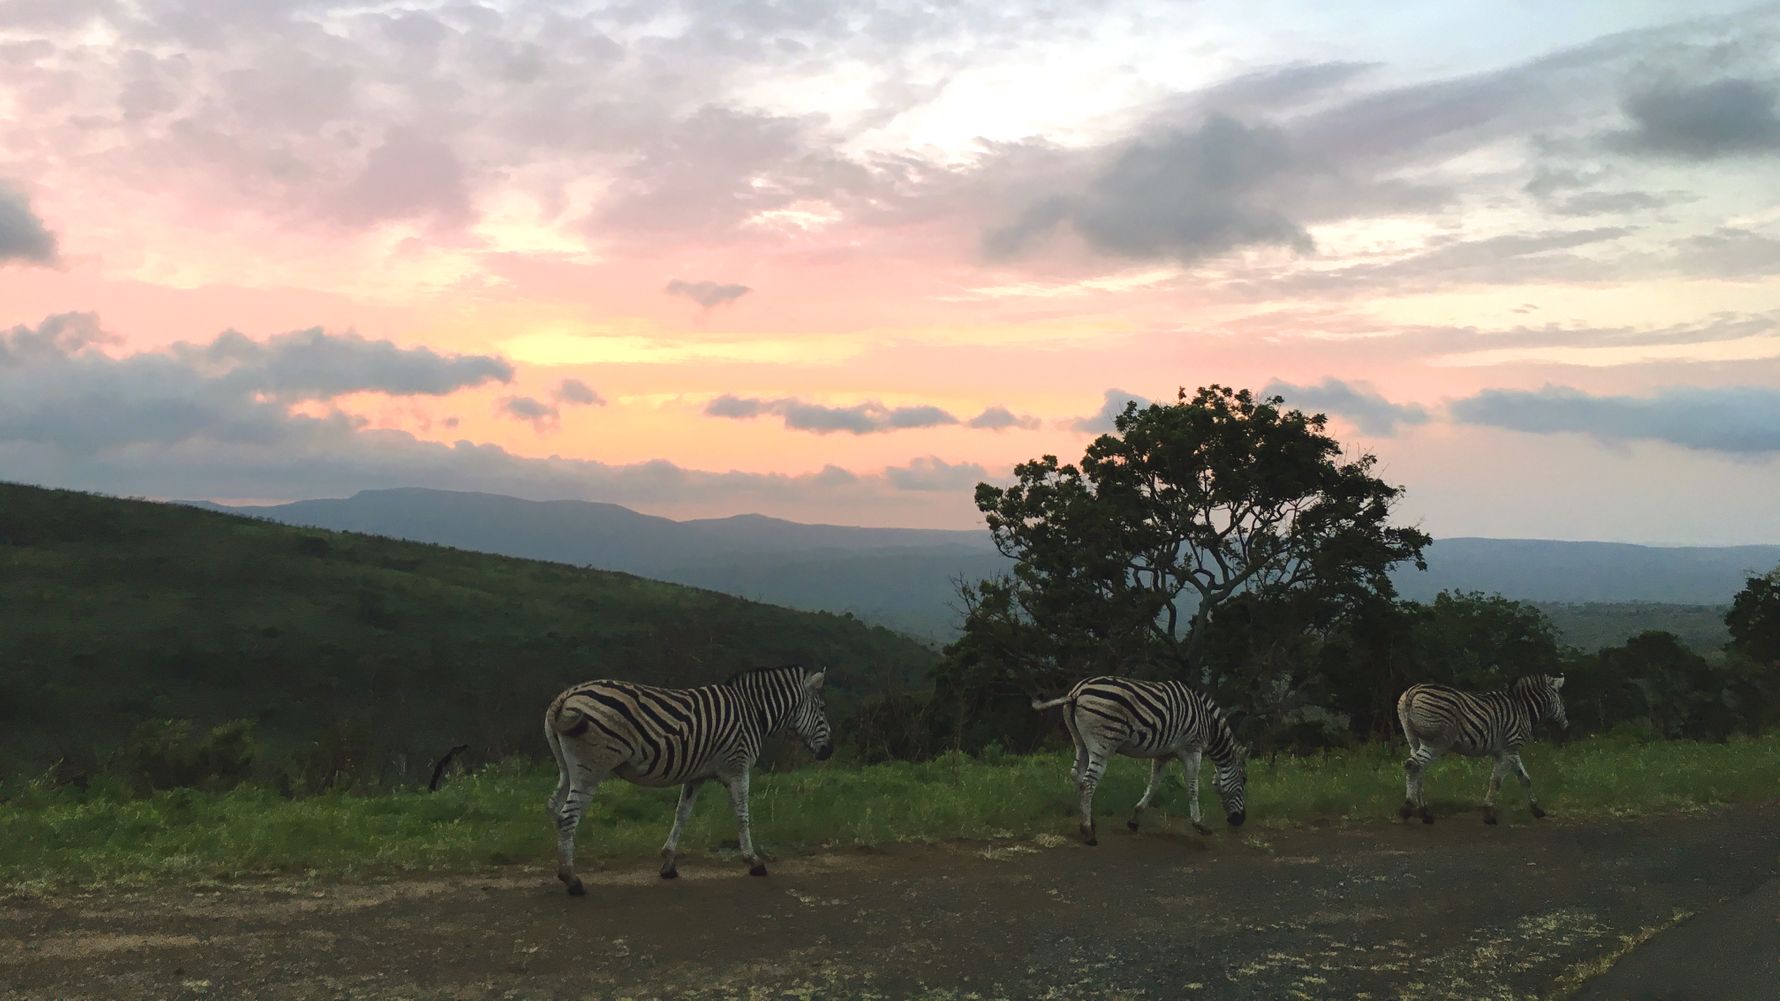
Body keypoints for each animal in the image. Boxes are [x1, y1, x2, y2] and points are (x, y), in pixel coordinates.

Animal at [543, 665, 833, 895]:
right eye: (821, 709)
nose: (829, 751)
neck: (753, 711)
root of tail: (566, 695)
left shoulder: (696, 775)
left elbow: (682, 814)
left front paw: (668, 864)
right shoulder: (737, 768)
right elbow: (742, 816)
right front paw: (754, 861)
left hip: (568, 769)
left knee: (554, 807)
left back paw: (563, 869)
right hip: (590, 769)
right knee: (568, 817)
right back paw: (572, 881)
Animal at [1032, 676, 1248, 845]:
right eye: (1244, 780)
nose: (1240, 821)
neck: (1210, 725)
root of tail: (1076, 693)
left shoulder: (1162, 754)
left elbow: (1154, 784)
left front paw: (1135, 819)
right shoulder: (1193, 750)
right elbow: (1193, 787)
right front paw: (1199, 824)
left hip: (1080, 741)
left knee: (1077, 775)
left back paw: (1090, 822)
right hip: (1102, 744)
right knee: (1087, 783)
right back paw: (1088, 833)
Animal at [1397, 674, 1568, 825]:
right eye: (1561, 701)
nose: (1566, 725)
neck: (1523, 709)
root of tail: (1412, 692)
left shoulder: (1510, 750)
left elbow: (1525, 778)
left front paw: (1536, 810)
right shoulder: (1508, 750)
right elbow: (1496, 781)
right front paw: (1489, 813)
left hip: (1414, 741)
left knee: (1418, 769)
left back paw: (1424, 812)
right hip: (1436, 742)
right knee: (1413, 765)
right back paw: (1408, 809)